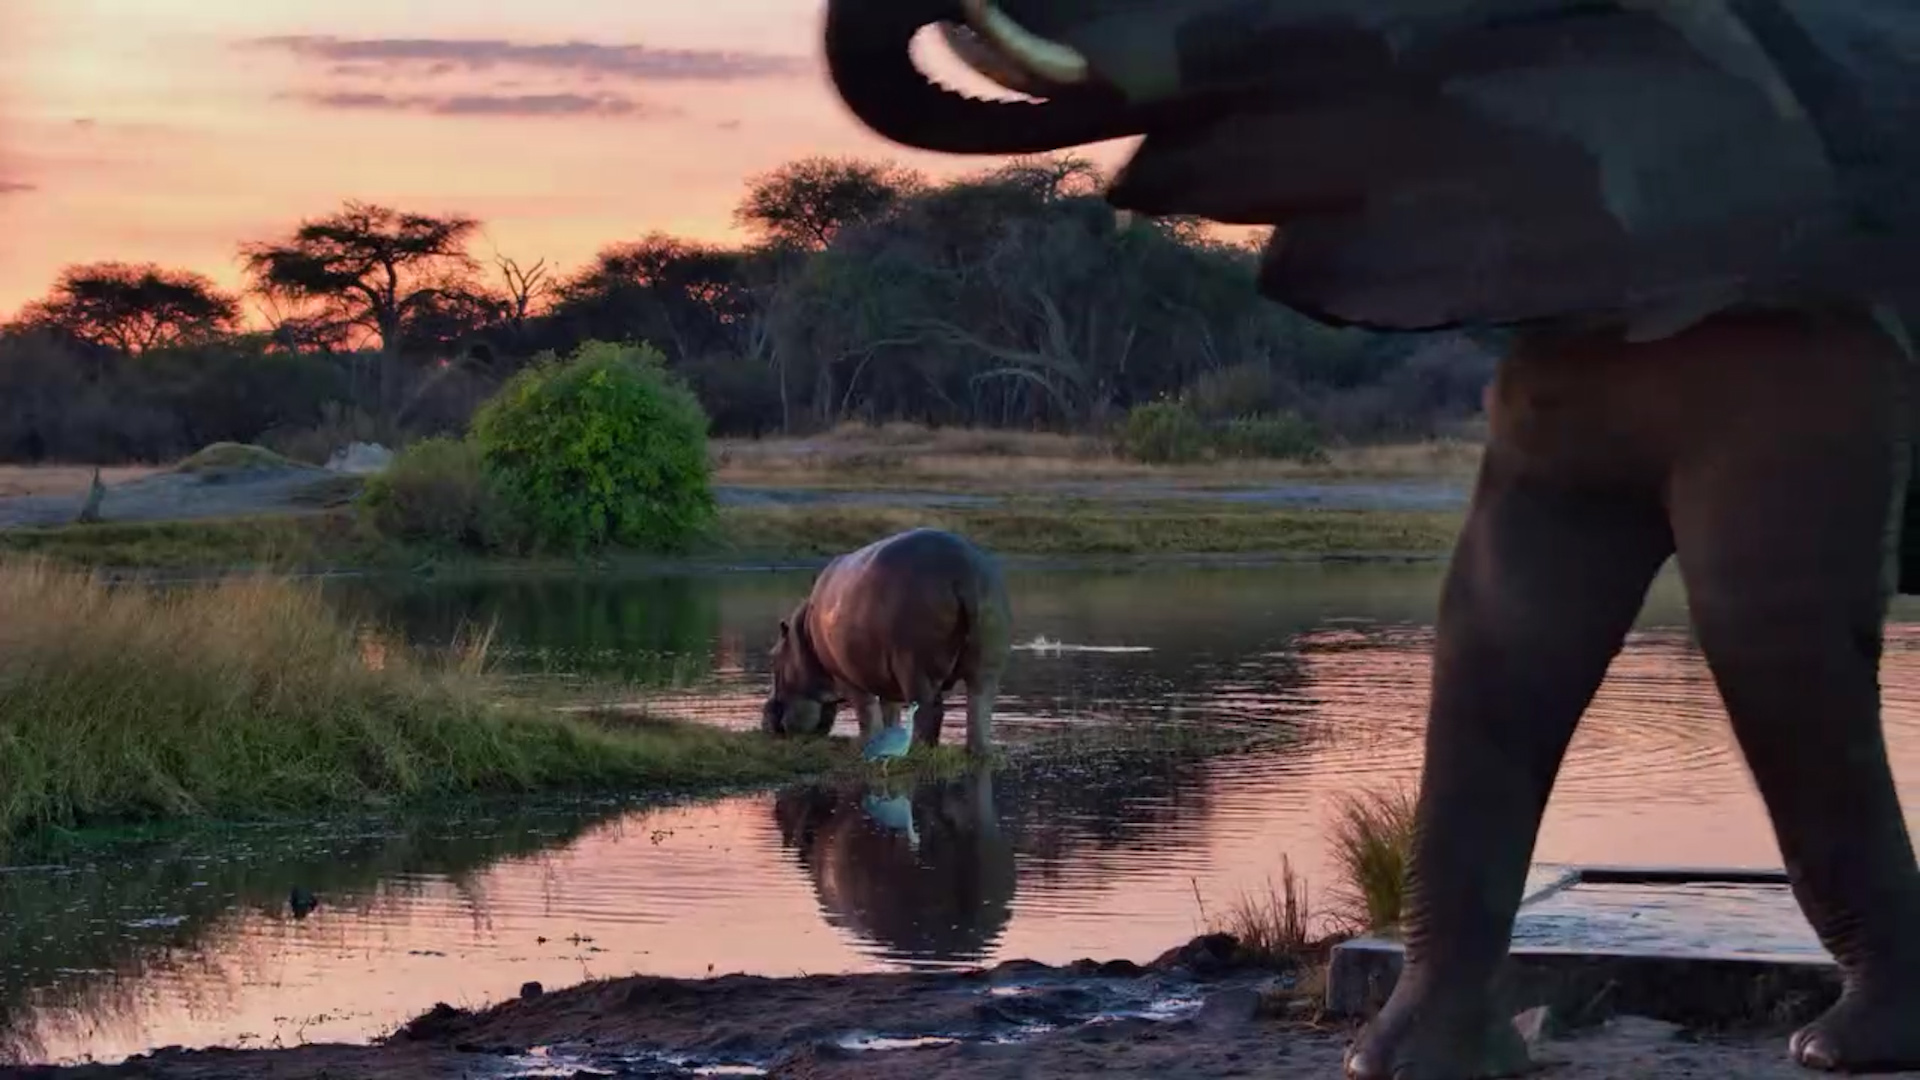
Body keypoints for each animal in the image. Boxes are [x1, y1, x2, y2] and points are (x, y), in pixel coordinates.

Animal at [762, 528, 1014, 756]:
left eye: (772, 656)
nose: (765, 724)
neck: (804, 638)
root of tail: (964, 571)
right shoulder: (883, 677)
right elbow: (889, 711)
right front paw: (887, 740)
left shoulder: (847, 676)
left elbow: (865, 709)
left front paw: (864, 744)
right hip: (987, 660)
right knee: (979, 705)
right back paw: (979, 752)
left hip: (915, 666)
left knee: (928, 710)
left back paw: (917, 750)